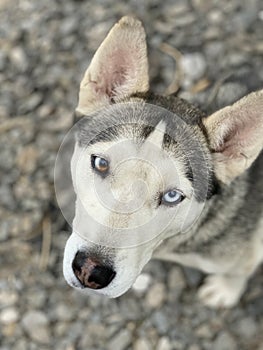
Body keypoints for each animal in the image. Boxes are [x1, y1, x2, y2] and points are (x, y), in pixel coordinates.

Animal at [62, 16, 263, 308]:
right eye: (100, 164)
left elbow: (238, 271)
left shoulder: (243, 254)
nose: (90, 270)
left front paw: (225, 290)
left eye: (172, 196)